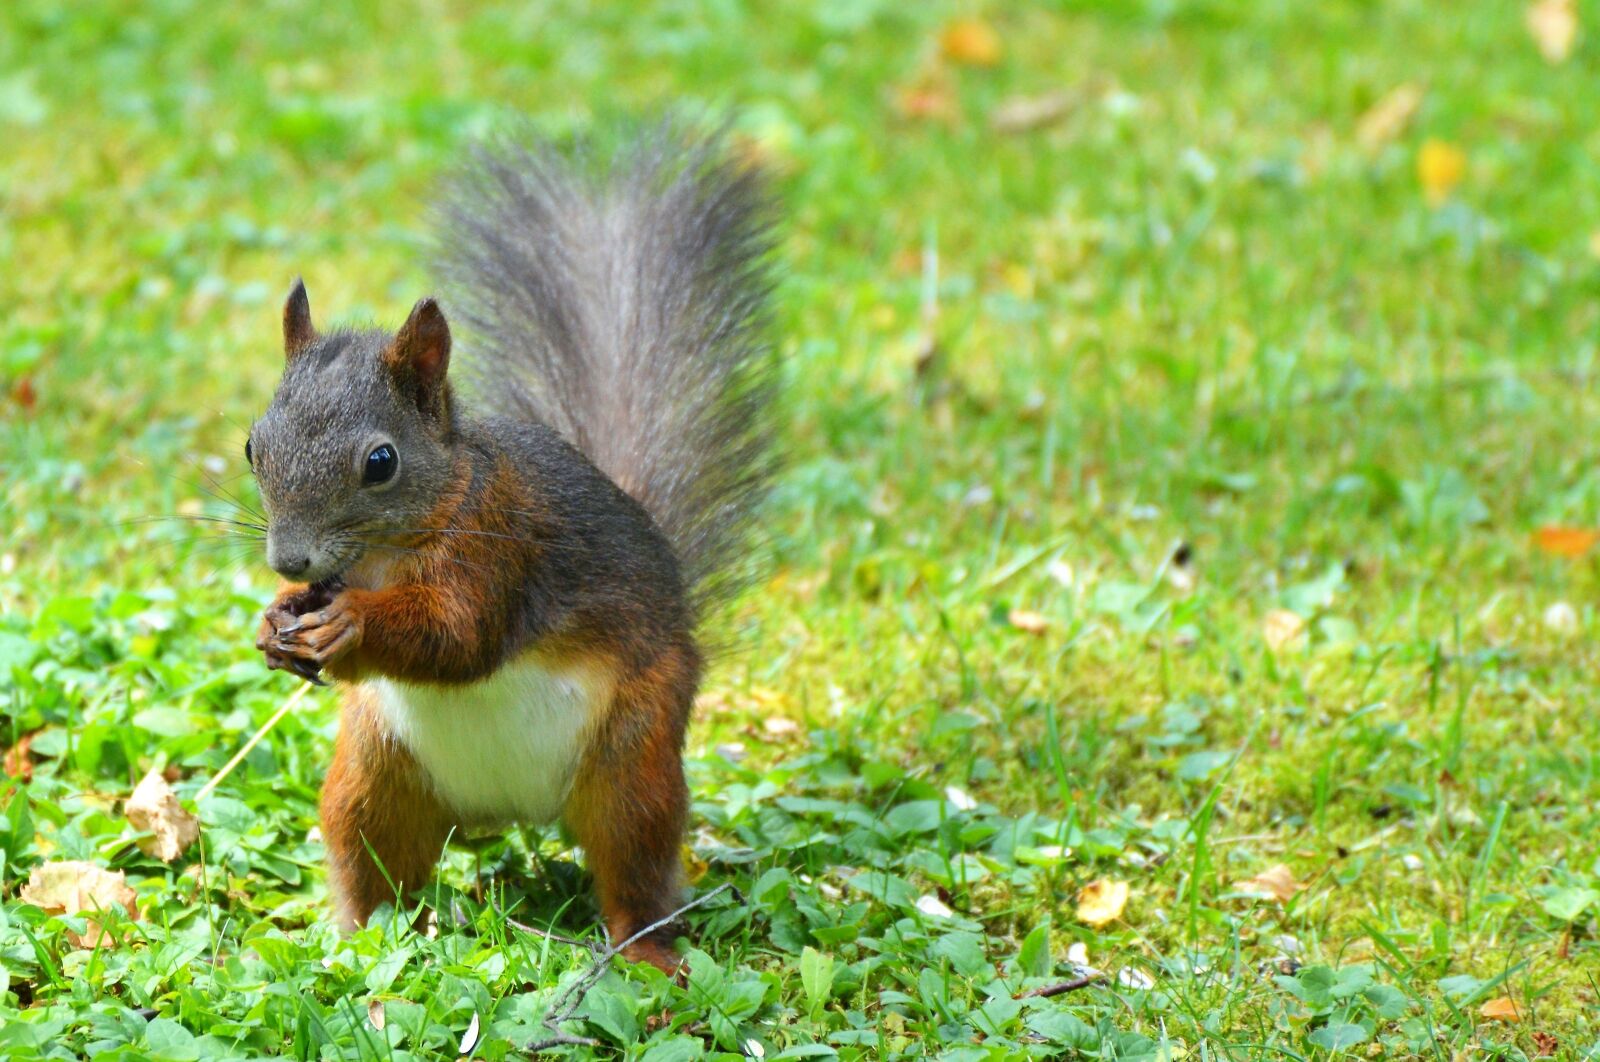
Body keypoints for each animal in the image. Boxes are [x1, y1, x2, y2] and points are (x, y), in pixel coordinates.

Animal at [244, 124, 777, 972]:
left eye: (380, 462)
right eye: (252, 447)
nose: (289, 561)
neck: (390, 553)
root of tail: (510, 810)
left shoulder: (503, 552)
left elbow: (460, 637)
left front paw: (352, 624)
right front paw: (276, 621)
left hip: (635, 763)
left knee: (635, 871)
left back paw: (648, 957)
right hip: (374, 776)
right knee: (374, 865)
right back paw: (351, 940)